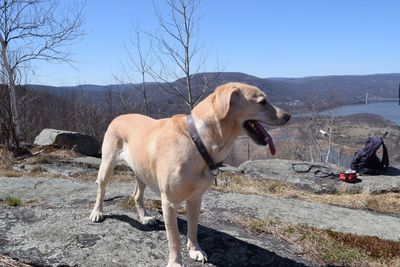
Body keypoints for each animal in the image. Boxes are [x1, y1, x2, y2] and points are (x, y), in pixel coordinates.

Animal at [90, 82, 290, 266]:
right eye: (262, 102)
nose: (288, 116)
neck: (198, 140)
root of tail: (118, 116)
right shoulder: (169, 202)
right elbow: (173, 239)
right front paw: (175, 262)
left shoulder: (195, 199)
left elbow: (193, 228)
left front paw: (195, 250)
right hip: (107, 165)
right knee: (101, 189)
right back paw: (97, 213)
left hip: (142, 172)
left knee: (136, 194)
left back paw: (145, 218)